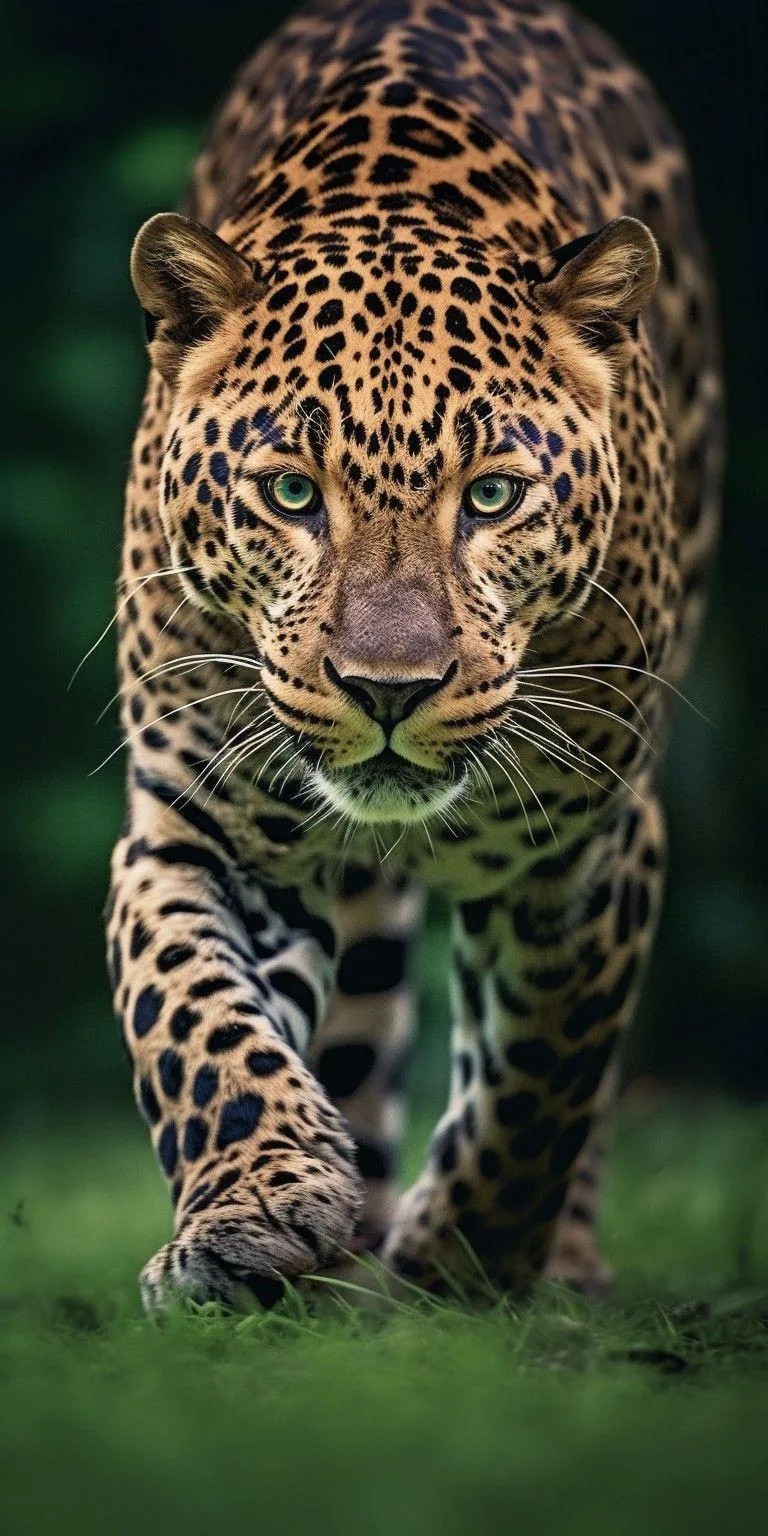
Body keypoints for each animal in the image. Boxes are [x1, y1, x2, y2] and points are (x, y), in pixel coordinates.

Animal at [108, 0, 722, 1309]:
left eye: (492, 496)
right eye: (292, 492)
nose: (387, 693)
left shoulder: (589, 849)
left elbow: (544, 1076)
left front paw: (463, 1261)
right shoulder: (197, 824)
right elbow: (194, 1022)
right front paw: (253, 1213)